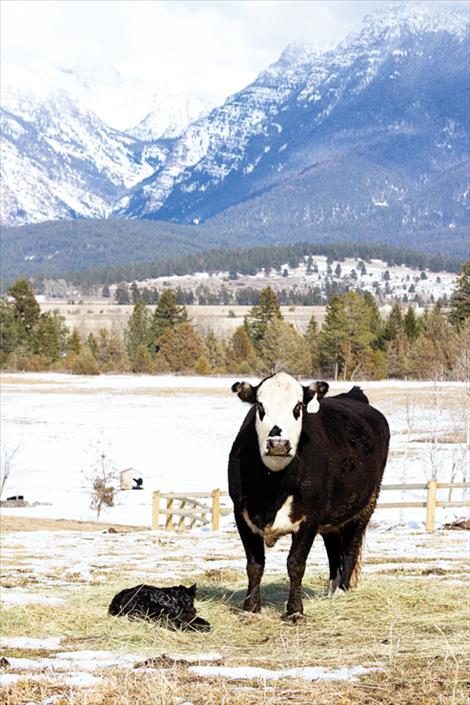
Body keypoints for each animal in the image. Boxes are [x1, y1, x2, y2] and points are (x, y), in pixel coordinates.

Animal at [228, 372, 390, 620]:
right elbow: (254, 565)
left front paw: (295, 611)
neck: (271, 489)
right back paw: (332, 590)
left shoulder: (310, 517)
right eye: (260, 405)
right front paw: (251, 609)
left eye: (298, 407)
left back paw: (342, 592)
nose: (278, 444)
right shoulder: (242, 514)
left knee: (349, 549)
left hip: (366, 505)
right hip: (332, 516)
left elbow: (295, 564)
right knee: (333, 549)